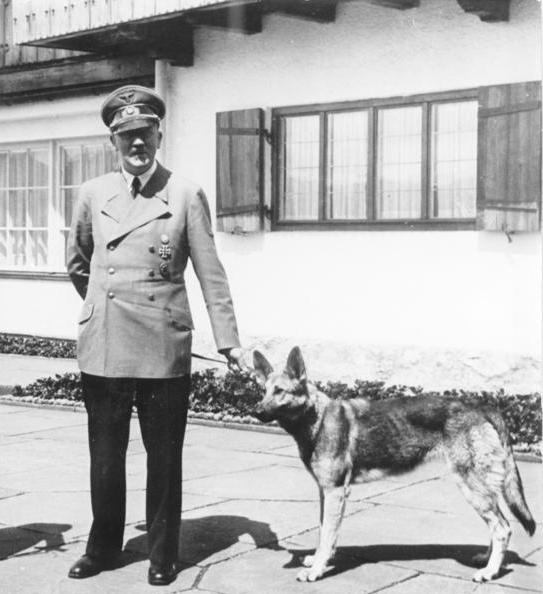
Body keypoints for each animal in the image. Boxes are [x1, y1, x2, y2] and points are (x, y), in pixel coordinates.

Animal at [253, 344, 536, 580]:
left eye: (280, 391)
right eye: (263, 391)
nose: (255, 411)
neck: (316, 418)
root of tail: (483, 407)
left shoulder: (335, 492)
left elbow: (328, 534)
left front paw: (317, 570)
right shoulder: (326, 492)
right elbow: (325, 532)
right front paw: (318, 561)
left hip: (472, 488)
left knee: (502, 528)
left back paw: (489, 572)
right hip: (481, 491)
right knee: (498, 526)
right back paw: (487, 560)